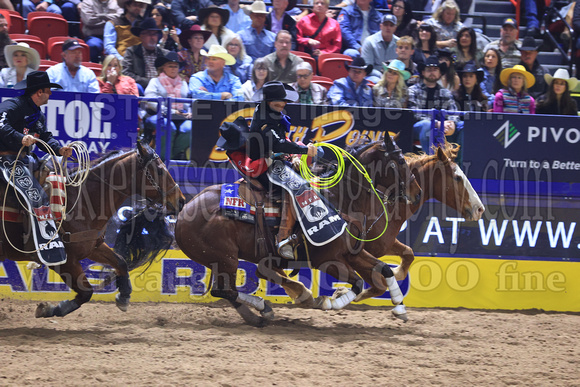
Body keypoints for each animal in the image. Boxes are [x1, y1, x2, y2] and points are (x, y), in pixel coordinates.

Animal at [0, 142, 186, 318]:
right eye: (160, 171)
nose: (181, 200)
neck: (80, 201)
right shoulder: (64, 261)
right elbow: (86, 292)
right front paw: (49, 309)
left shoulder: (93, 246)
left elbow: (121, 262)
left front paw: (124, 296)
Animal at [174, 138, 424, 326]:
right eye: (400, 160)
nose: (417, 192)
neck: (338, 198)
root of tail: (182, 213)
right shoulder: (327, 260)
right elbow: (357, 283)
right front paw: (327, 301)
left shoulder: (352, 252)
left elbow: (384, 270)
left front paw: (400, 308)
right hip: (226, 258)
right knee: (226, 290)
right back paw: (265, 307)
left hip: (219, 260)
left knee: (226, 290)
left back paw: (261, 313)